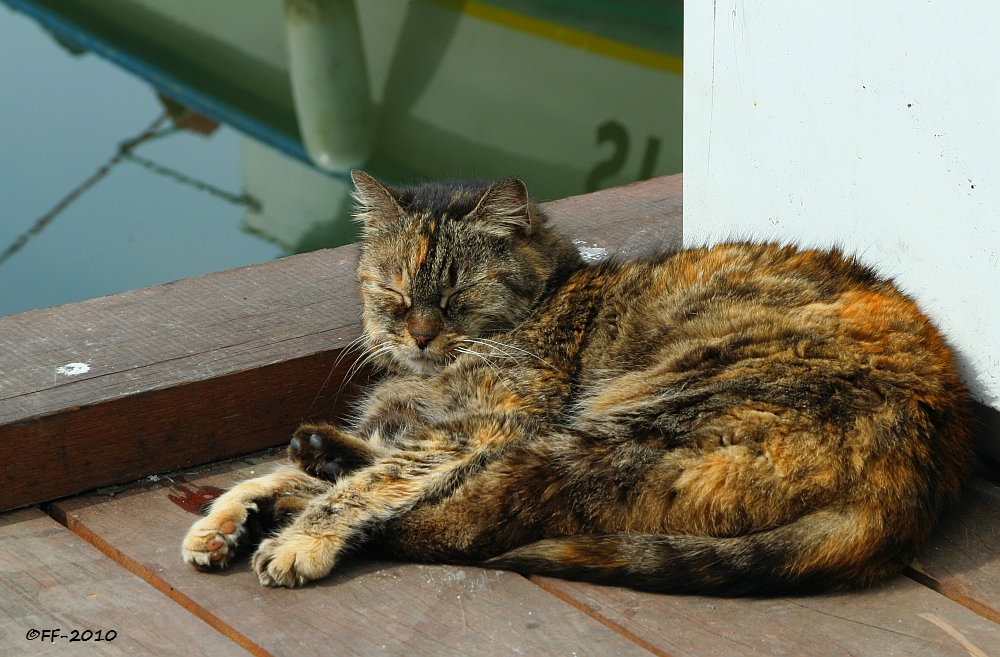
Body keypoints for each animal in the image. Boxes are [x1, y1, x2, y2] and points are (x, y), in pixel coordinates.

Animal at [182, 169, 976, 596]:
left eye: (459, 294)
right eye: (396, 293)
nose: (420, 334)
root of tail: (921, 474)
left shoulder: (491, 424)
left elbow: (376, 482)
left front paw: (297, 536)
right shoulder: (433, 424)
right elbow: (278, 468)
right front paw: (226, 517)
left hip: (616, 425)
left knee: (473, 520)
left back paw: (305, 503)